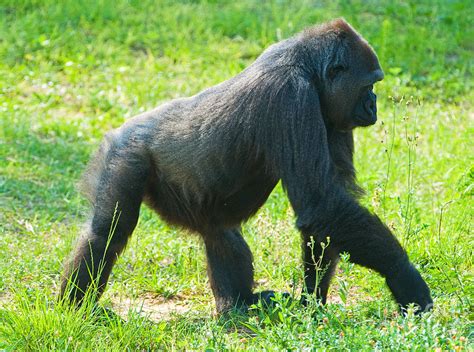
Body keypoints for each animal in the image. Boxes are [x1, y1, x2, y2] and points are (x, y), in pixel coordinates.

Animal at [60, 19, 434, 314]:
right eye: (369, 85)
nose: (373, 106)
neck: (307, 66)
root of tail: (121, 130)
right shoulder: (292, 96)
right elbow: (321, 203)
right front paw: (404, 276)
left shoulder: (332, 115)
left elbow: (327, 210)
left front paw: (312, 301)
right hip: (125, 153)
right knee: (106, 232)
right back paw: (76, 308)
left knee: (221, 232)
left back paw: (239, 305)